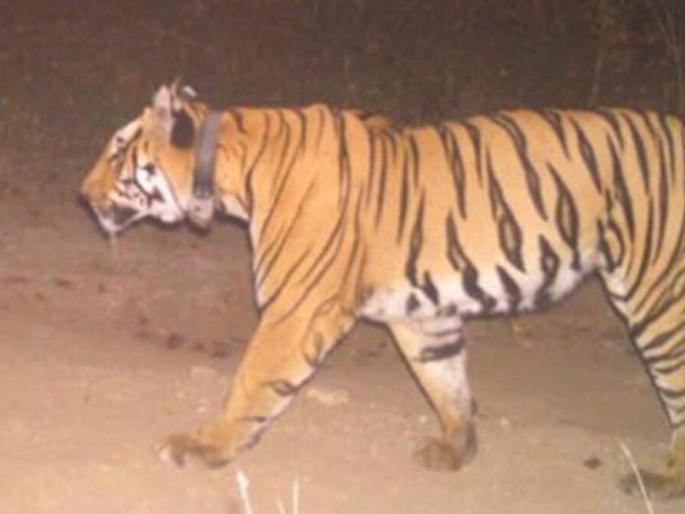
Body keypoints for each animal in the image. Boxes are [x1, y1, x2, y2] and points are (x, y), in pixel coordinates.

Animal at [80, 82, 685, 499]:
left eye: (117, 153)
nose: (82, 195)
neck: (231, 170)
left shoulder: (295, 308)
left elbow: (251, 382)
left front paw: (206, 445)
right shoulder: (423, 313)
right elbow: (446, 379)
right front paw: (457, 447)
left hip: (659, 295)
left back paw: (661, 479)